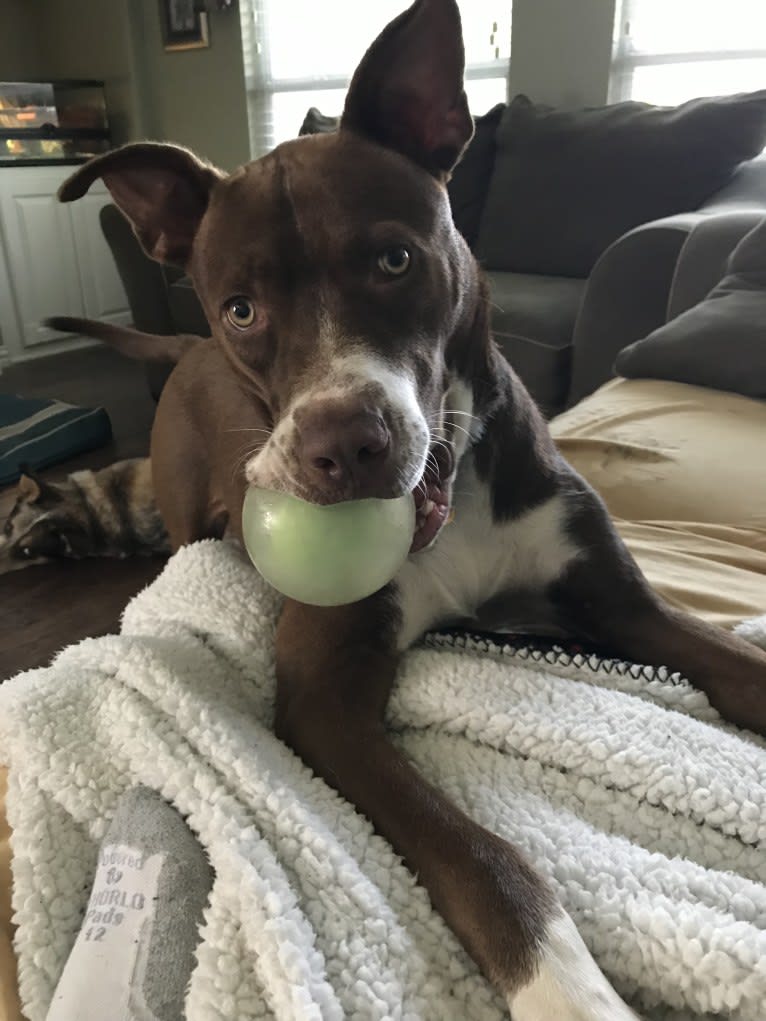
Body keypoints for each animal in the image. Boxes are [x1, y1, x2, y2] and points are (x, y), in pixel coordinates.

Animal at [54, 3, 766, 1016]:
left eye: (394, 259)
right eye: (242, 308)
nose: (345, 445)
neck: (453, 494)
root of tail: (179, 345)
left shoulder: (621, 603)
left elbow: (737, 666)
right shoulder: (325, 699)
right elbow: (484, 858)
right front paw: (567, 988)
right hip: (191, 513)